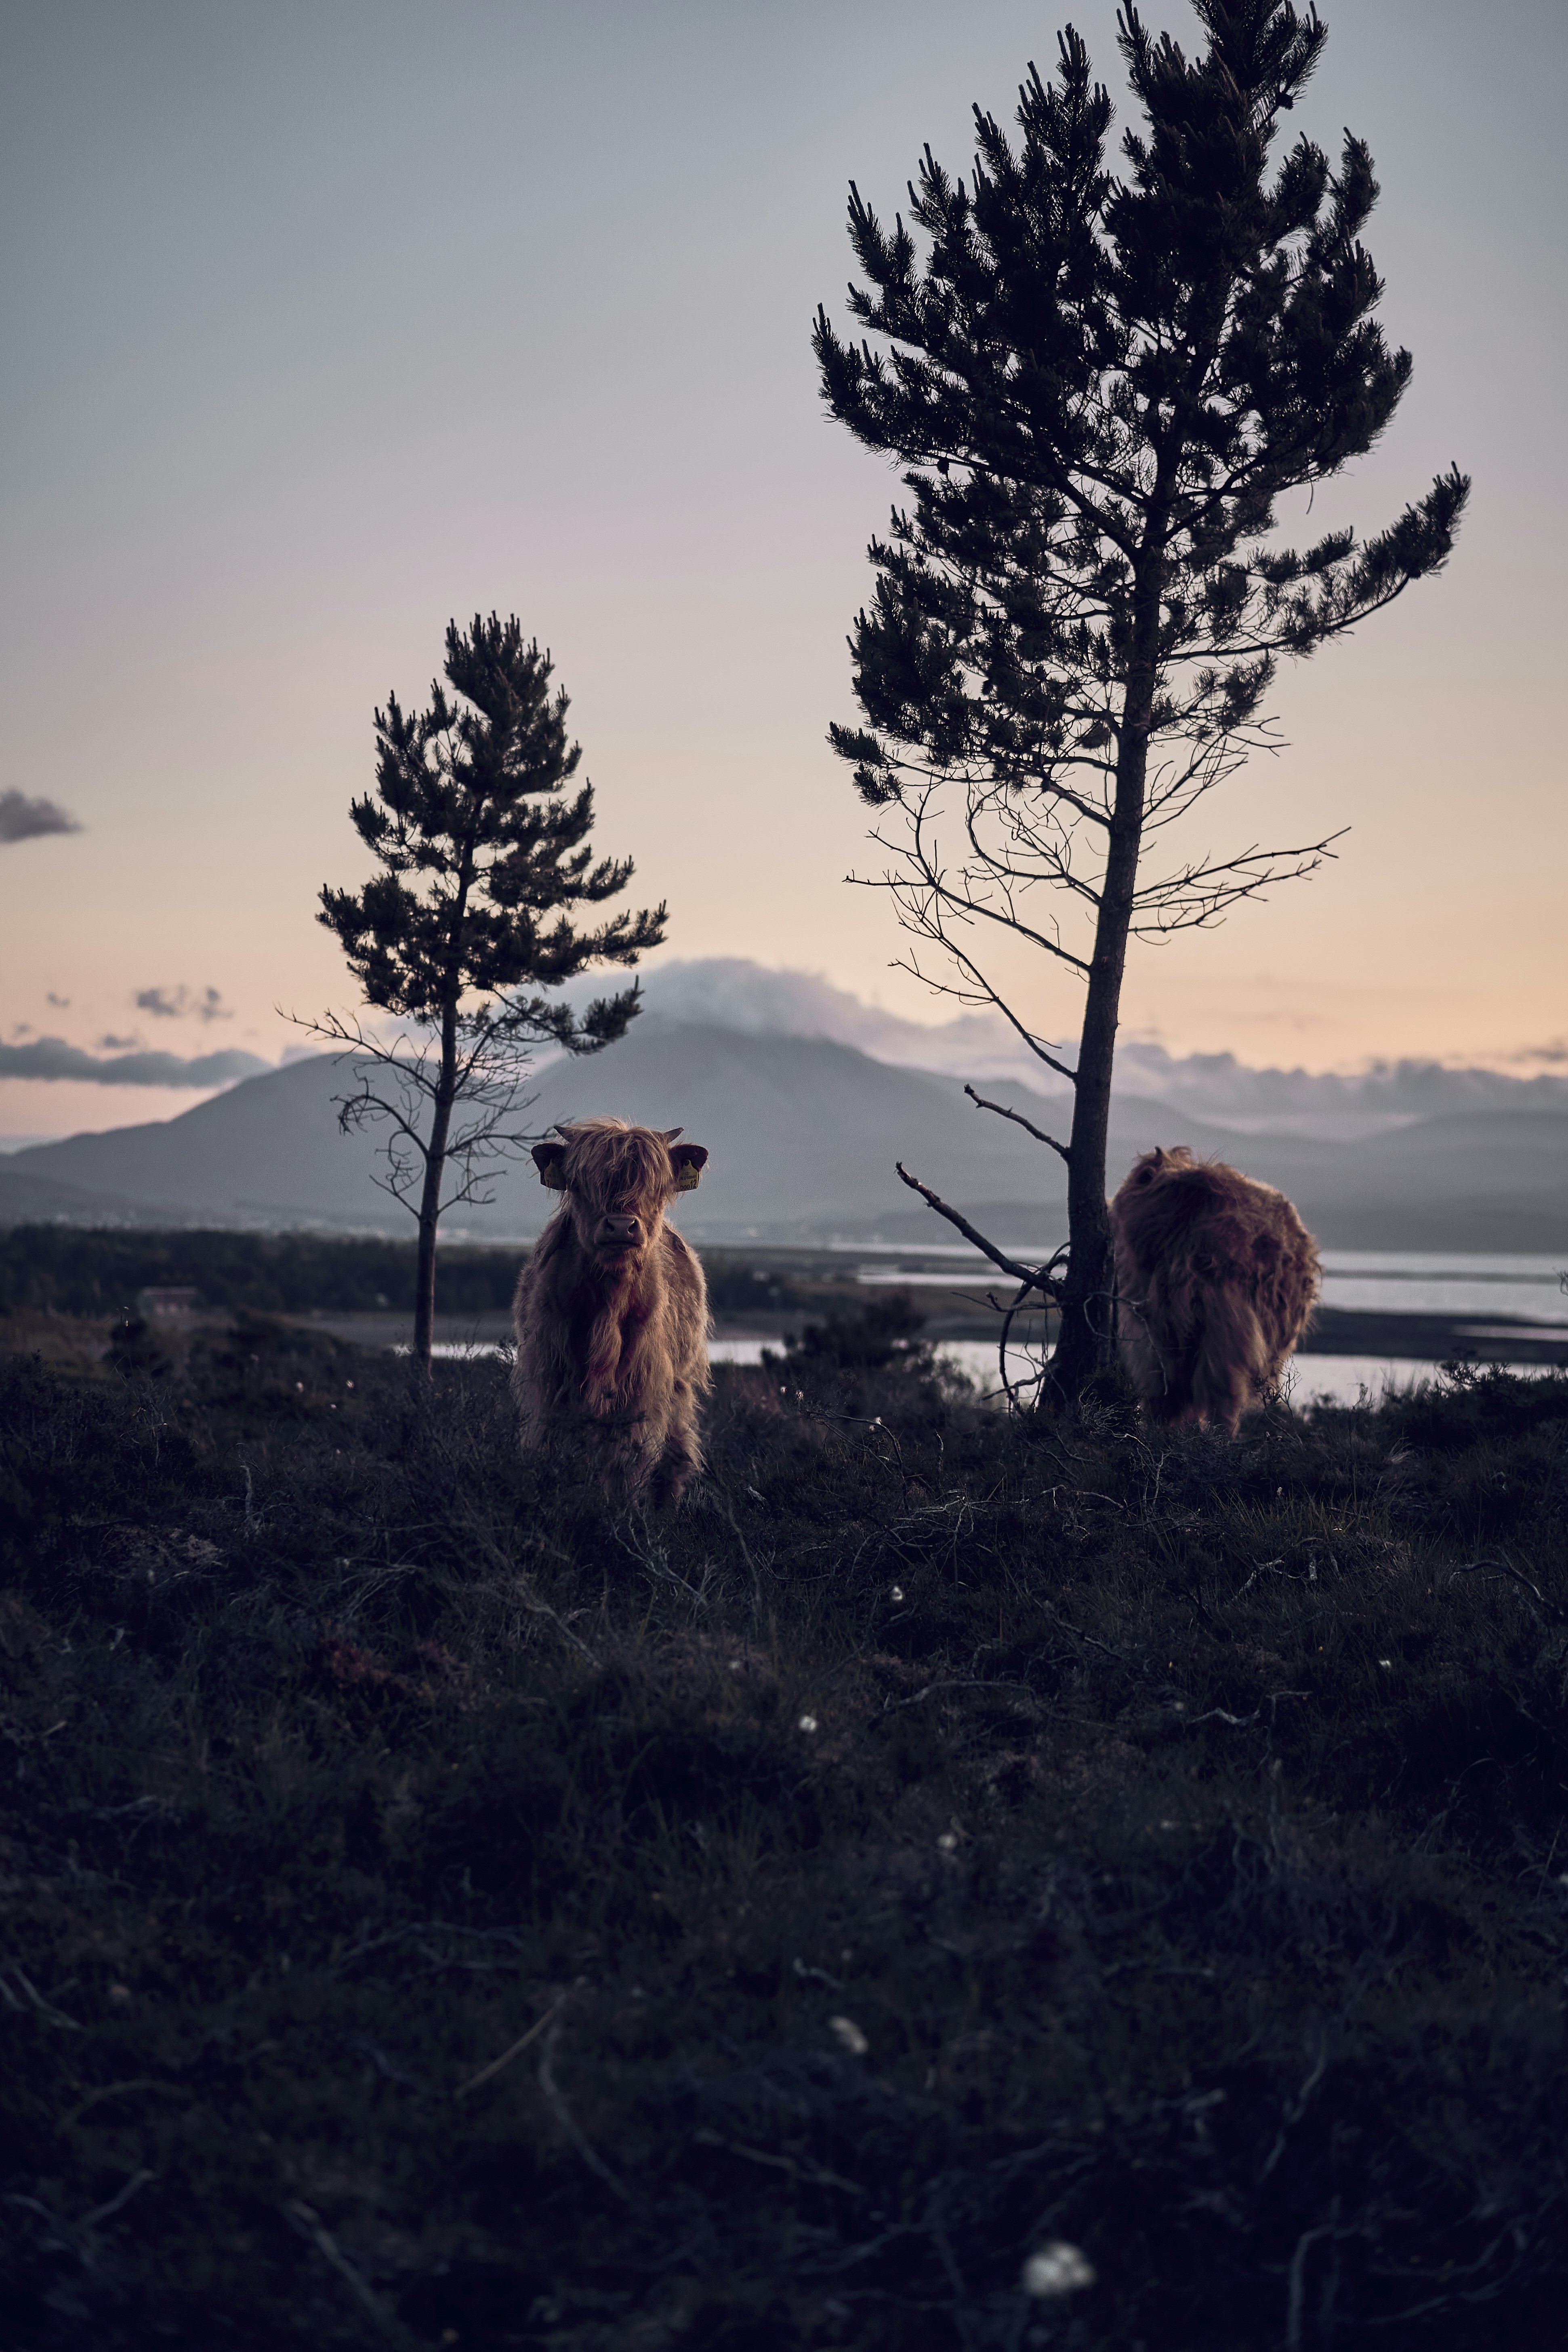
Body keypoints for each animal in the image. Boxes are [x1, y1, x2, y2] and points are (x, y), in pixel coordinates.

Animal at [511, 1117, 712, 1503]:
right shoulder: (550, 1378)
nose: (621, 1225)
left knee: (674, 1457)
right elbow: (554, 1451)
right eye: (581, 1183)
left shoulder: (643, 1390)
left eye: (656, 1186)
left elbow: (627, 1464)